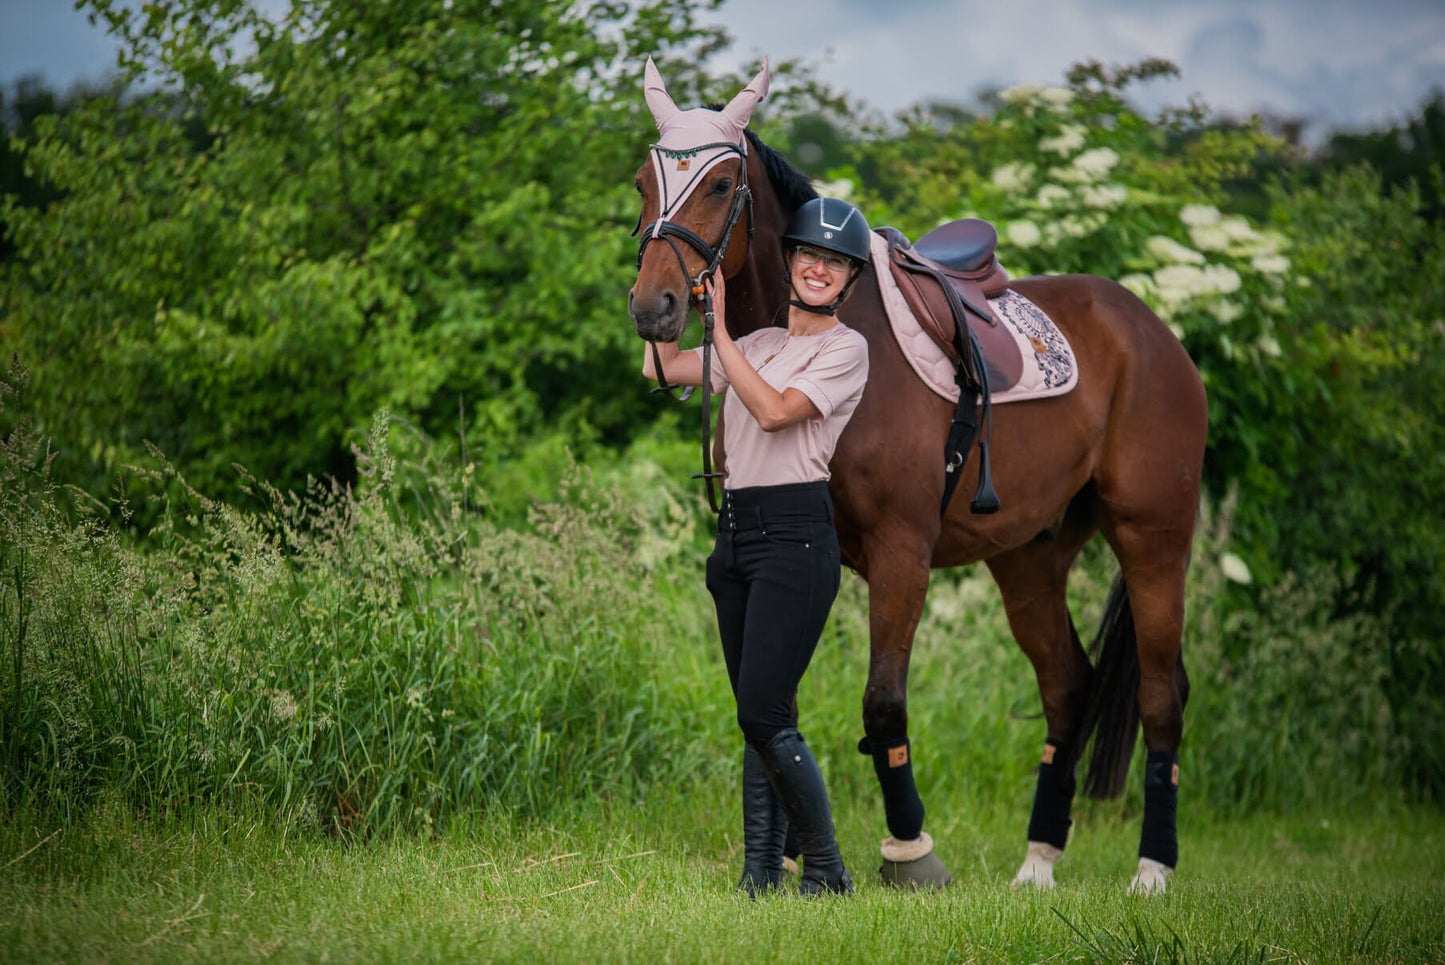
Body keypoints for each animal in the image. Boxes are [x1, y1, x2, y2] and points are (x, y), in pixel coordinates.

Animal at [627, 58, 1202, 889]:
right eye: (643, 180)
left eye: (719, 182)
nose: (654, 306)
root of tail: (1153, 331)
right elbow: (780, 700)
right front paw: (797, 853)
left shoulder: (901, 551)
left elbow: (881, 703)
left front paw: (907, 848)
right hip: (1028, 557)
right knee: (1067, 686)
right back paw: (1037, 862)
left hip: (1152, 538)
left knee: (1161, 693)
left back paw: (1152, 870)